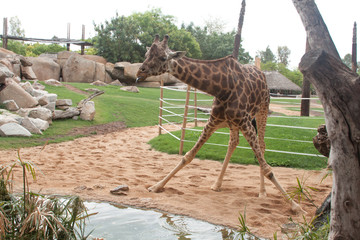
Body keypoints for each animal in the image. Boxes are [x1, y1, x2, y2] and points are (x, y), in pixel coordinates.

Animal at [136, 34, 306, 213]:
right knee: (233, 142)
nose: (140, 72)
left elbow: (267, 168)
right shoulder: (213, 121)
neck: (222, 88)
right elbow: (188, 156)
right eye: (146, 55)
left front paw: (297, 207)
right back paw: (217, 184)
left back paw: (262, 192)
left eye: (163, 57)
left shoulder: (245, 122)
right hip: (233, 123)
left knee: (262, 145)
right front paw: (156, 186)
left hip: (262, 110)